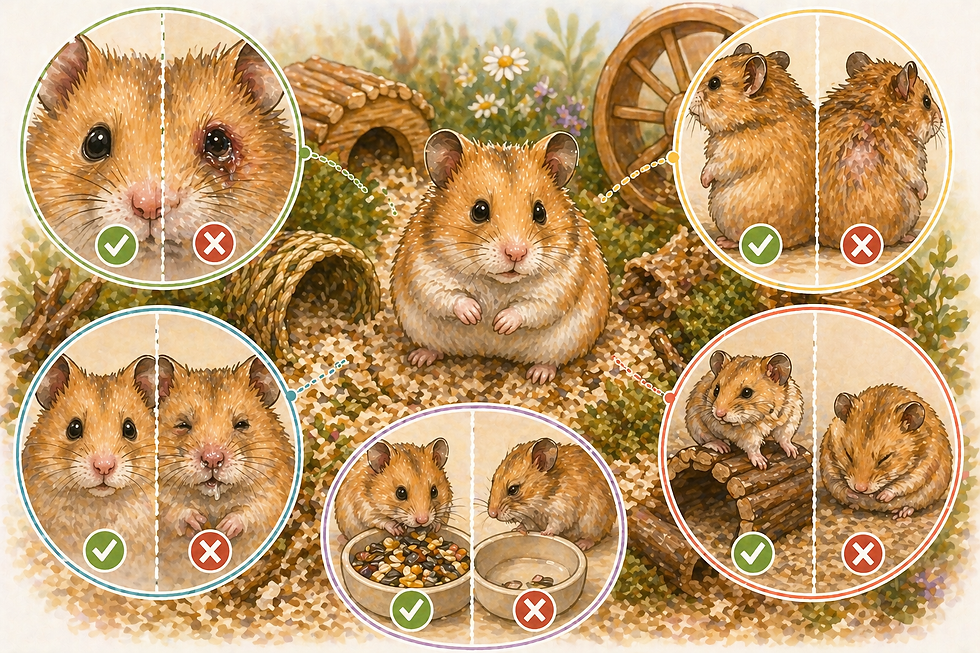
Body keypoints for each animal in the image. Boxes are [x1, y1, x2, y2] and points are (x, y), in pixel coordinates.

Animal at [157, 355, 294, 585]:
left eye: (242, 424)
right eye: (183, 425)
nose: (212, 460)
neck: (213, 501)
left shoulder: (276, 488)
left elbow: (256, 509)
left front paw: (224, 528)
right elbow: (170, 509)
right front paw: (198, 523)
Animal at [390, 129, 610, 384]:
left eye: (540, 212)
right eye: (479, 210)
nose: (516, 253)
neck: (496, 282)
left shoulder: (563, 282)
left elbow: (532, 306)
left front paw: (499, 324)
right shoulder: (423, 269)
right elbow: (447, 295)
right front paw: (475, 315)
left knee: (551, 360)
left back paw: (539, 375)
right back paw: (419, 358)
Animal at [486, 438, 615, 551]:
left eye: (513, 489)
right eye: (493, 481)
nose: (492, 513)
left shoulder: (562, 510)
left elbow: (554, 525)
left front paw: (545, 533)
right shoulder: (529, 518)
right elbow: (526, 524)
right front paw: (517, 529)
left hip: (594, 521)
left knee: (594, 537)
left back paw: (582, 544)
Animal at [818, 53, 944, 248]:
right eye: (926, 101)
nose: (942, 119)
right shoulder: (909, 155)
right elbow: (917, 177)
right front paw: (924, 193)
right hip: (910, 206)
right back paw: (909, 237)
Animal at [819, 384, 953, 519]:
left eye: (885, 458)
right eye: (848, 454)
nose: (860, 489)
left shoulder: (925, 465)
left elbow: (905, 482)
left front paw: (881, 496)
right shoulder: (827, 460)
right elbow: (837, 483)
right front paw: (852, 494)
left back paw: (901, 512)